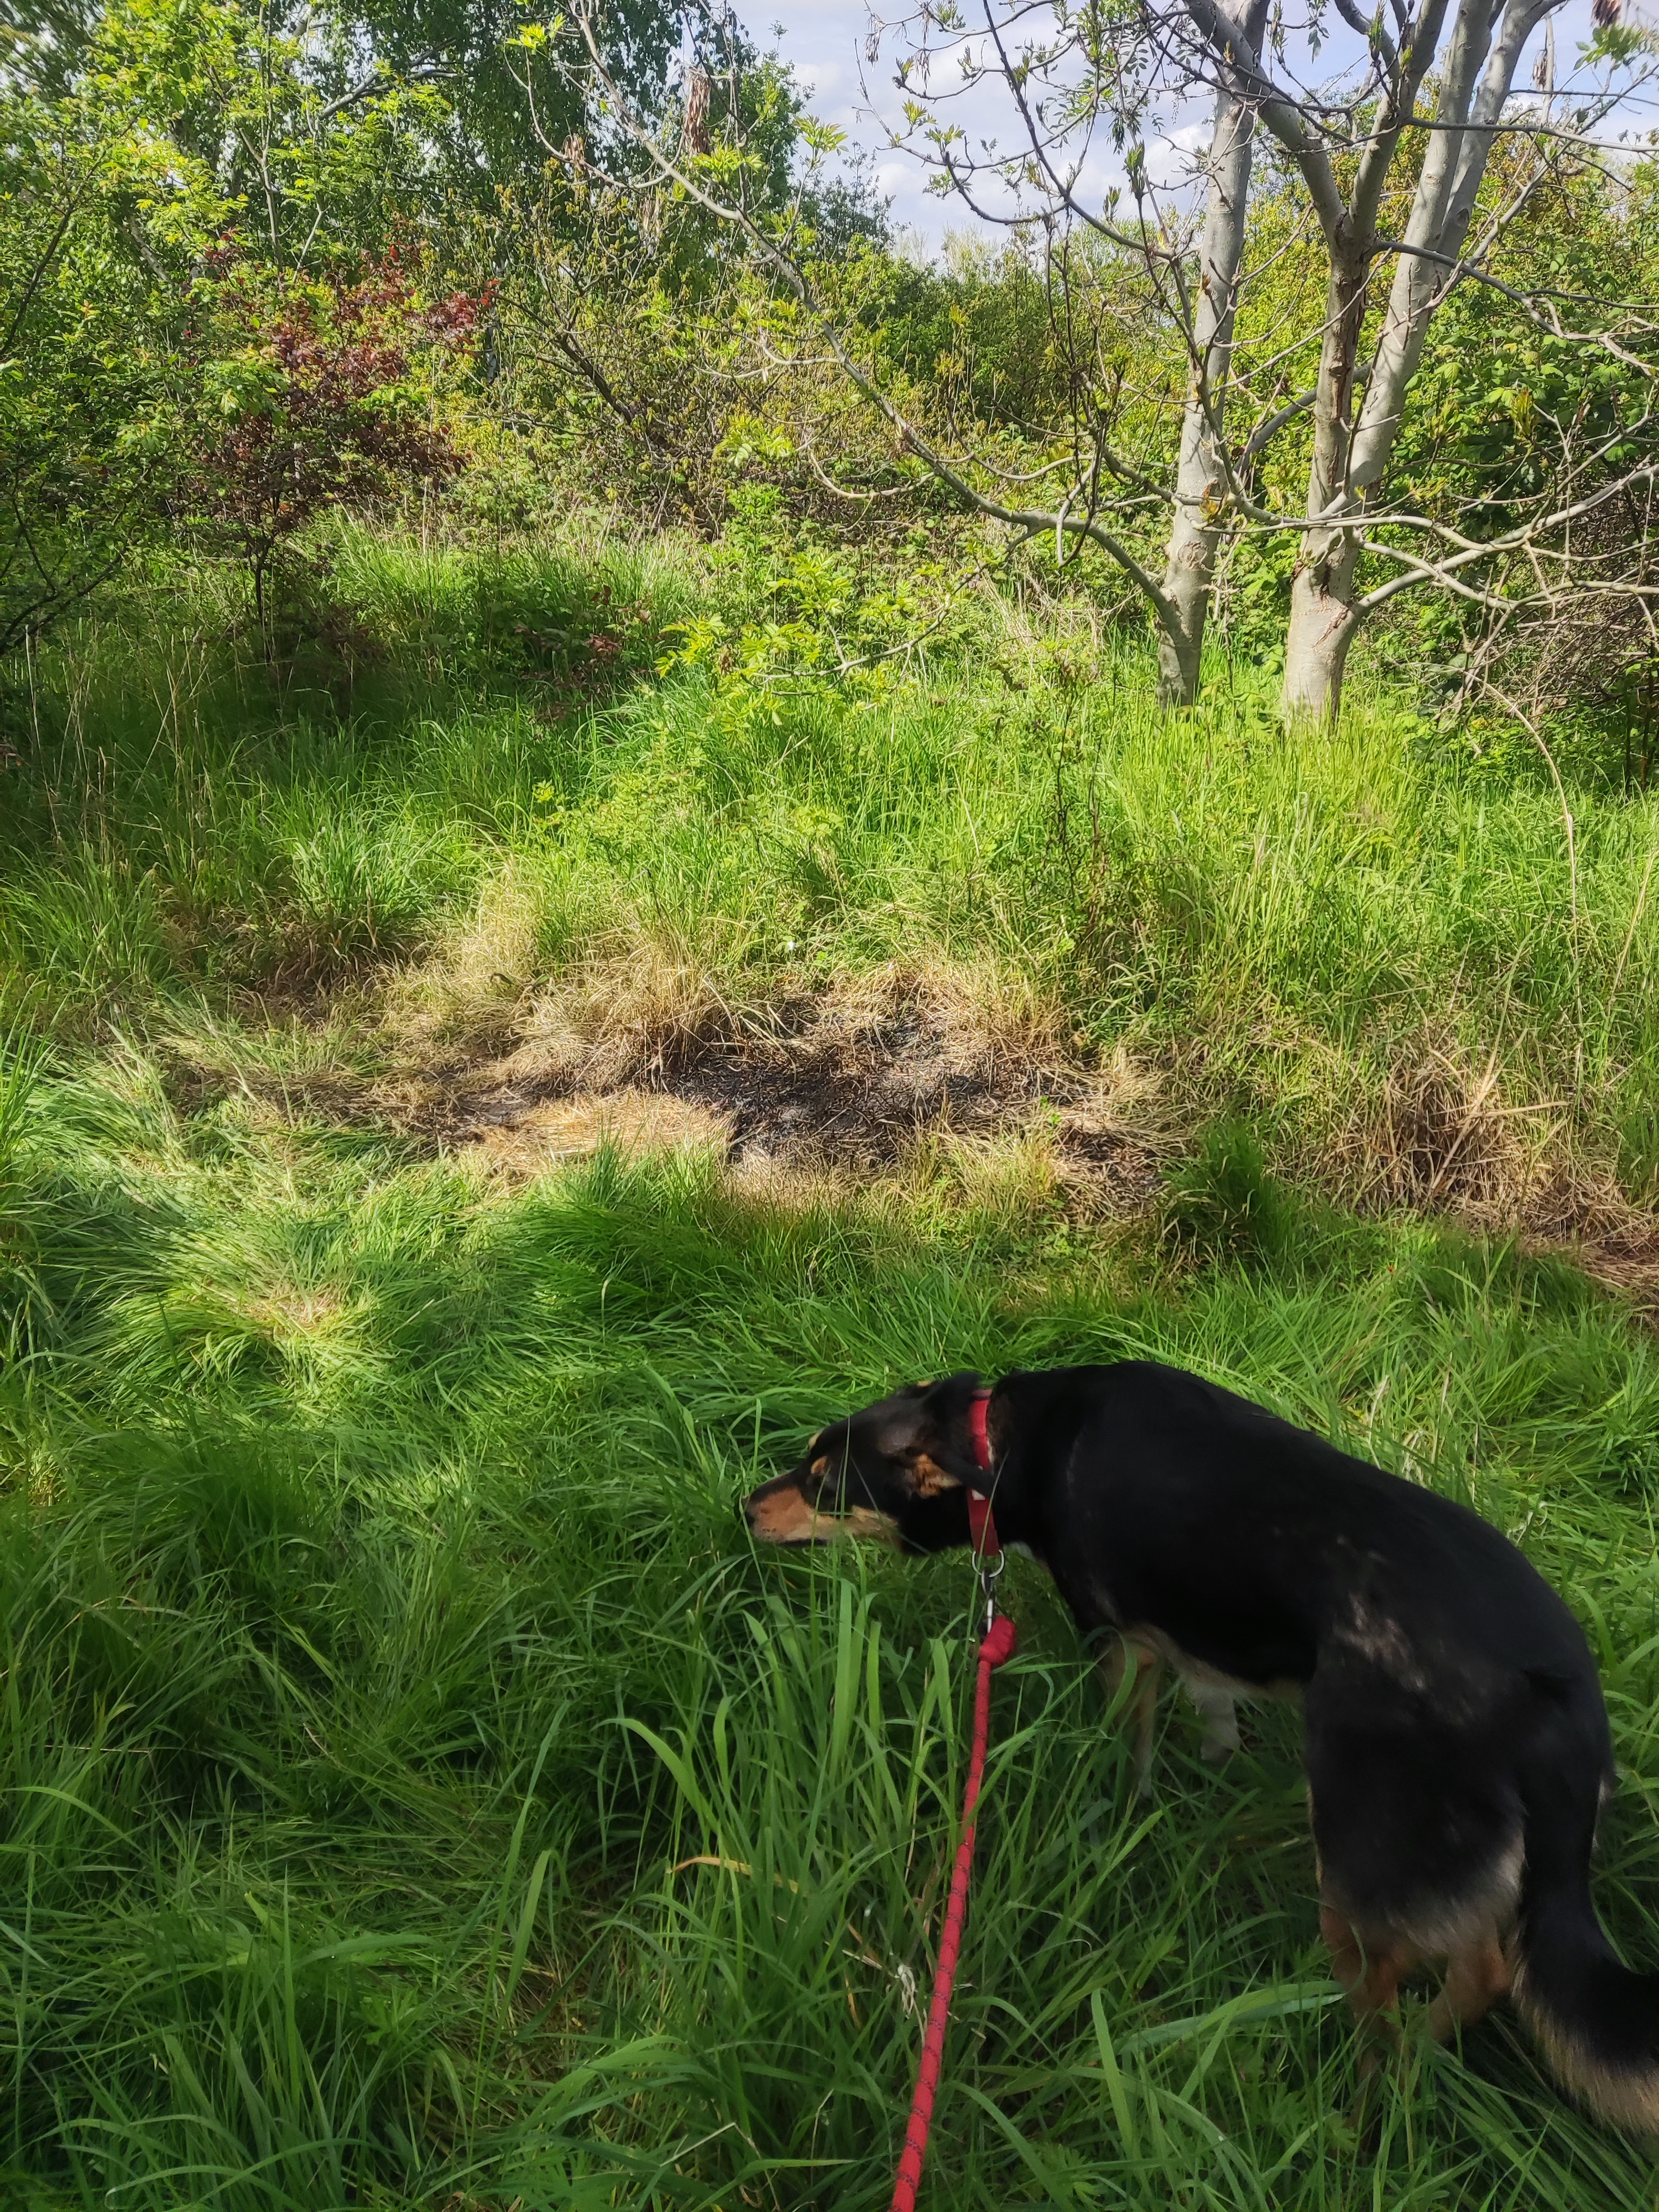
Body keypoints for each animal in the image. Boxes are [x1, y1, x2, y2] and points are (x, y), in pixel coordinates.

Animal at [743, 1354, 1659, 2132]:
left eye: (824, 1483)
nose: (744, 1508)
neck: (1001, 1444)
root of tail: (1560, 1711)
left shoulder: (1120, 1643)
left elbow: (1126, 1748)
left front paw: (1122, 1809)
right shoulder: (1188, 1638)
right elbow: (1213, 1706)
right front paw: (1207, 1777)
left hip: (1359, 1869)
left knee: (1443, 1985)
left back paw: (1369, 2094)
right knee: (1485, 1969)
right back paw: (1424, 2061)